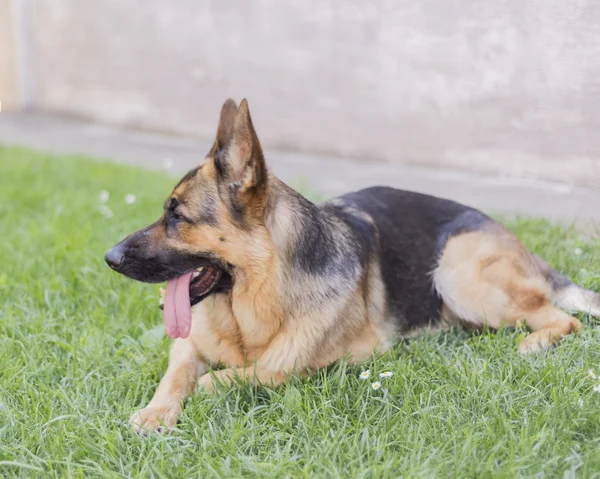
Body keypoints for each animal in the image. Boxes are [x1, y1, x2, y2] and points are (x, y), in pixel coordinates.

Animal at [105, 98, 600, 436]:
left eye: (177, 216)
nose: (110, 257)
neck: (259, 302)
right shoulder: (187, 346)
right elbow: (177, 375)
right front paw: (155, 412)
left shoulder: (346, 357)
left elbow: (242, 375)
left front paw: (210, 386)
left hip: (458, 272)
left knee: (564, 319)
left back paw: (534, 342)